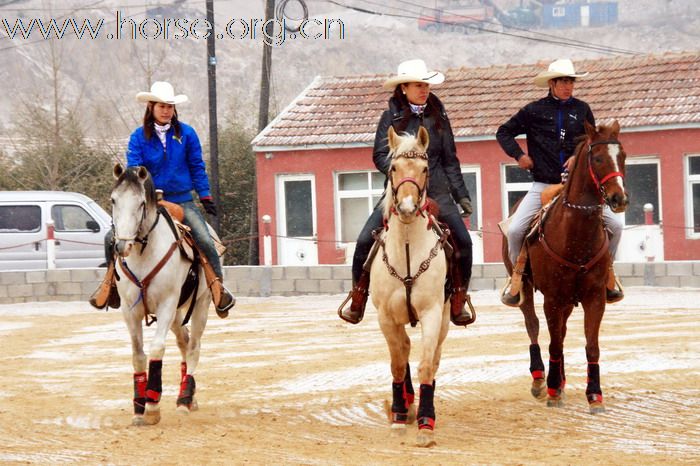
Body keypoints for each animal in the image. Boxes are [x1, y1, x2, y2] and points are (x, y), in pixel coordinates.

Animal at [110, 165, 211, 426]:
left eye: (141, 203)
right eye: (113, 200)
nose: (122, 246)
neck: (145, 252)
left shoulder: (166, 305)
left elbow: (156, 349)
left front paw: (152, 407)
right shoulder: (130, 310)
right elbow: (138, 354)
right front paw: (138, 408)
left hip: (200, 305)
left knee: (194, 347)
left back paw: (184, 400)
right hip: (177, 315)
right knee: (184, 341)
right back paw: (190, 397)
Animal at [370, 125, 452, 446]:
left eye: (424, 169)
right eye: (393, 168)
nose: (406, 207)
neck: (406, 246)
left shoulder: (432, 313)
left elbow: (426, 364)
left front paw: (426, 424)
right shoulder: (386, 317)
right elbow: (396, 363)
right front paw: (398, 416)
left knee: (431, 358)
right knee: (403, 351)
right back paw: (403, 405)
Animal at [504, 122, 628, 414]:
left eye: (623, 156)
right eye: (598, 158)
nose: (619, 198)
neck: (575, 233)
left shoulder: (594, 297)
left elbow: (591, 346)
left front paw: (594, 395)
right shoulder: (552, 298)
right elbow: (554, 343)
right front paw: (552, 392)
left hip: (570, 300)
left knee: (560, 330)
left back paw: (559, 381)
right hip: (529, 291)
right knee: (534, 326)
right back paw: (541, 379)